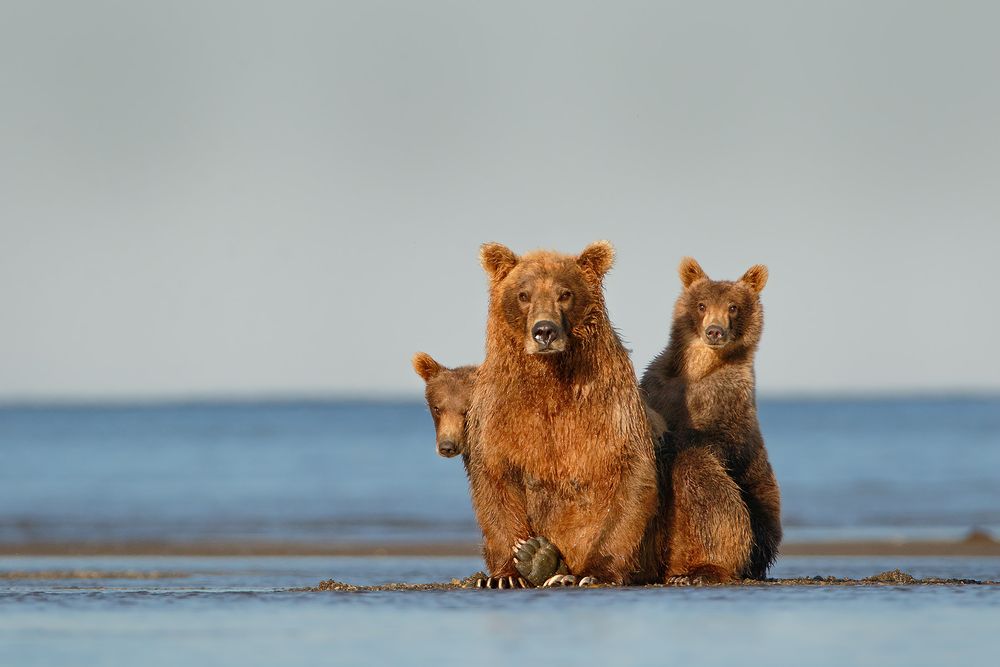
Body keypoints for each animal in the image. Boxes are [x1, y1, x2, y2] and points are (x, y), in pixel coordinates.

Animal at [467, 241, 660, 589]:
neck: (551, 378)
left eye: (565, 293)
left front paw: (595, 573)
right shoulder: (499, 408)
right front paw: (506, 575)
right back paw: (539, 559)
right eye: (523, 294)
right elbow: (495, 476)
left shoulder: (609, 404)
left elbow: (630, 473)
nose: (544, 331)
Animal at [640, 257, 782, 583]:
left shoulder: (729, 398)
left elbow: (720, 442)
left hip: (760, 521)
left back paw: (702, 570)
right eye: (702, 305)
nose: (715, 331)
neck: (697, 369)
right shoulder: (659, 385)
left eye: (733, 307)